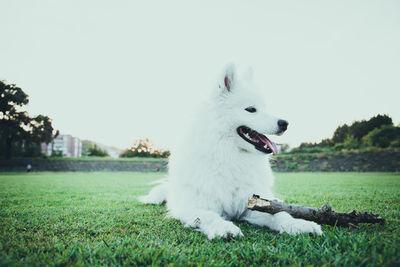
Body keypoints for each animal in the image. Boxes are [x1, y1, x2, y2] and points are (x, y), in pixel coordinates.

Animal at [140, 64, 322, 239]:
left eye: (265, 108)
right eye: (251, 109)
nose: (285, 123)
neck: (230, 156)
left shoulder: (253, 204)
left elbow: (279, 214)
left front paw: (299, 224)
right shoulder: (193, 207)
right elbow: (208, 216)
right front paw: (224, 227)